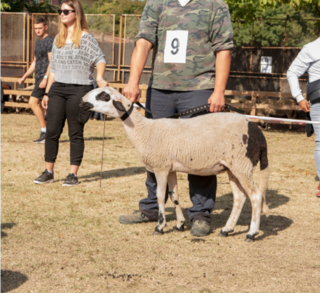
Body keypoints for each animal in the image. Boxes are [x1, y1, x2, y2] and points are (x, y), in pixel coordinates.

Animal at [80, 87, 270, 242]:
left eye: (103, 95)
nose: (82, 102)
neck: (143, 130)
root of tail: (259, 134)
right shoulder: (170, 168)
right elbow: (174, 196)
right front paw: (180, 224)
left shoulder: (160, 167)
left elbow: (159, 196)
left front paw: (160, 227)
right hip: (233, 167)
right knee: (240, 197)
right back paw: (226, 229)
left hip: (242, 164)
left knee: (255, 196)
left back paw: (251, 234)